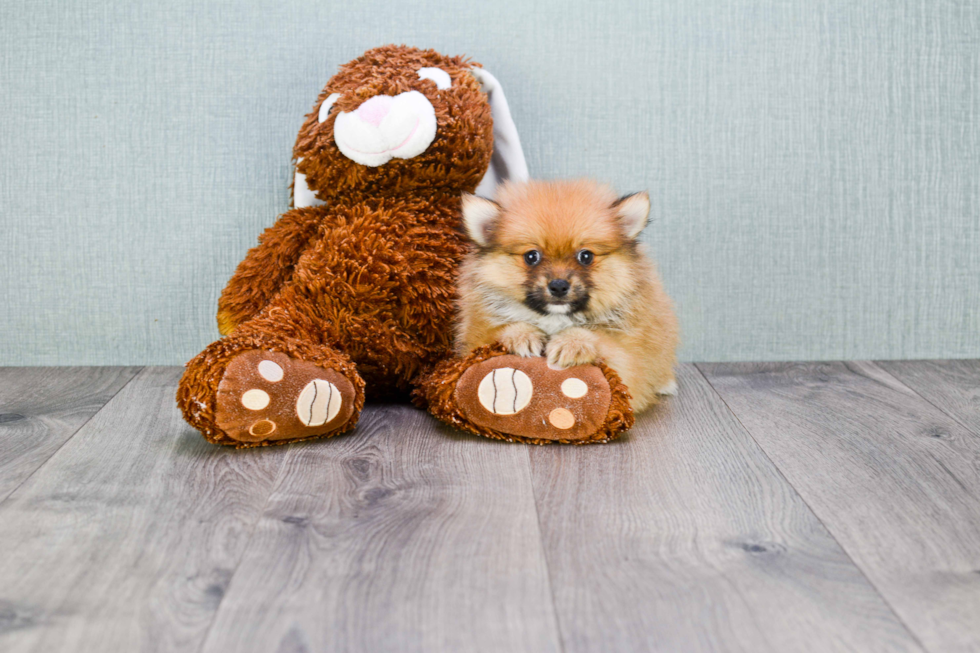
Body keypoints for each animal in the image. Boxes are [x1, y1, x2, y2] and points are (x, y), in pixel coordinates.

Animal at [456, 181, 676, 410]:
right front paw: (522, 336)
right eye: (531, 256)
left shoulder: (629, 357)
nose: (559, 286)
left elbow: (600, 339)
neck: (555, 318)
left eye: (585, 256)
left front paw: (571, 343)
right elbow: (499, 331)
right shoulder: (474, 338)